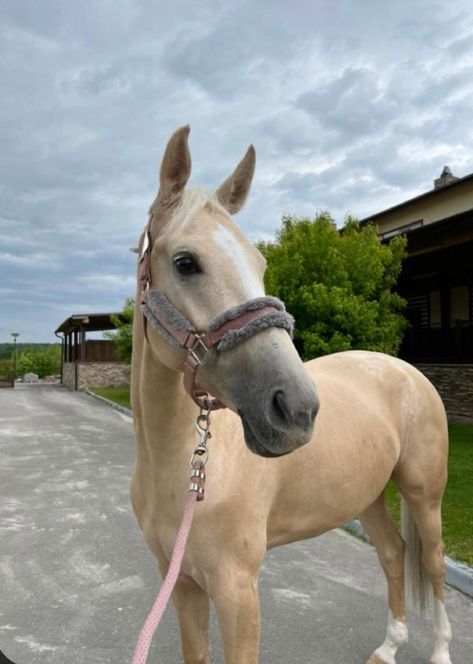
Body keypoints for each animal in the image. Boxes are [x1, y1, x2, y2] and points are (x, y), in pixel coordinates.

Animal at [128, 126, 450, 664]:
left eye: (260, 263)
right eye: (185, 262)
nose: (296, 409)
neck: (181, 467)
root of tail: (406, 370)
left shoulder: (237, 591)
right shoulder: (181, 584)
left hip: (424, 494)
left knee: (434, 563)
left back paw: (441, 649)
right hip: (366, 495)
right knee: (392, 552)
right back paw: (388, 647)